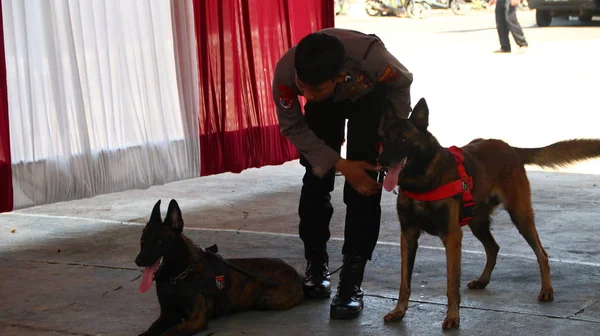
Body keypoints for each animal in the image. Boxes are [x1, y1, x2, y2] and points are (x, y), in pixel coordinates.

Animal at [137, 198, 304, 334]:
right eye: (143, 241)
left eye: (159, 241)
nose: (137, 261)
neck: (178, 276)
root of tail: (298, 276)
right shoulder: (167, 315)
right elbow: (150, 330)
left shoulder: (195, 320)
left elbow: (170, 332)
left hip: (265, 301)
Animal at [380, 97, 600, 328]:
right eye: (384, 138)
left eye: (403, 140)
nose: (382, 160)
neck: (422, 181)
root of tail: (510, 148)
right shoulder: (408, 235)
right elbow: (404, 281)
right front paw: (399, 311)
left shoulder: (452, 236)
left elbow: (451, 284)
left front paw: (452, 317)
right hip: (477, 222)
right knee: (494, 247)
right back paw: (483, 280)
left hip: (520, 216)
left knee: (542, 253)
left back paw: (547, 290)